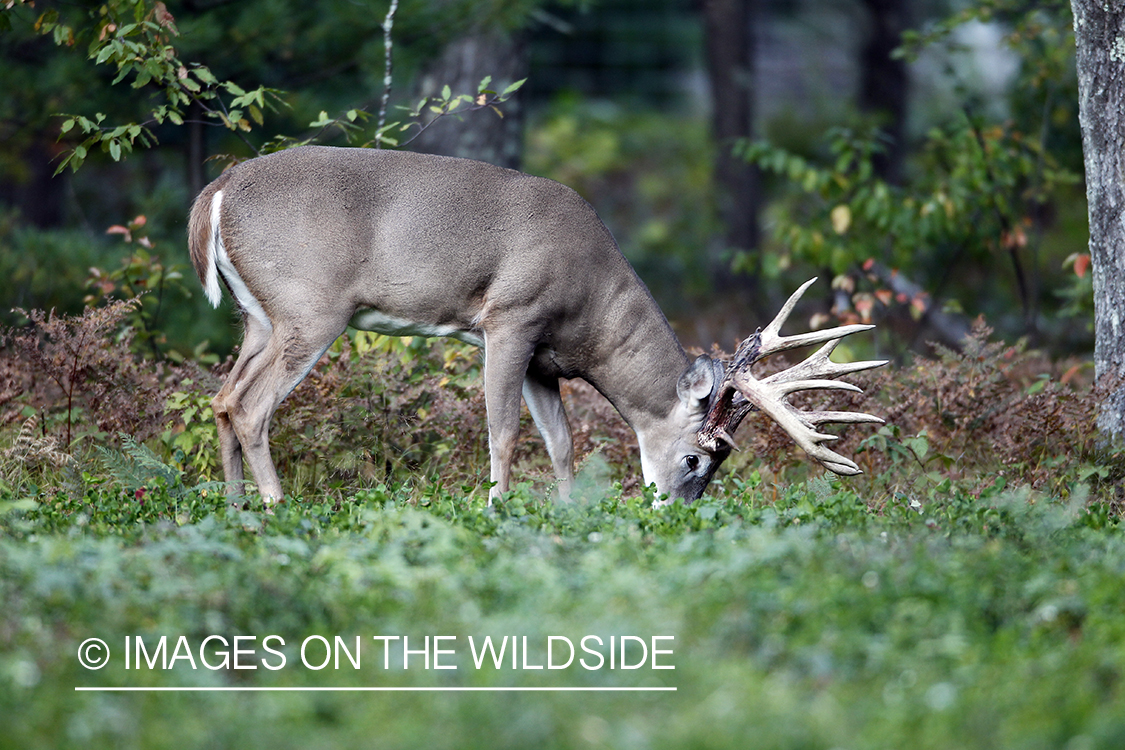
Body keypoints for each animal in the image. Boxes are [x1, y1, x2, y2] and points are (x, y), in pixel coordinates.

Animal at [186, 146, 886, 503]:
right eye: (696, 457)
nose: (676, 511)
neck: (590, 312)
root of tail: (214, 194)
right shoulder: (509, 319)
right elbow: (503, 432)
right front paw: (497, 510)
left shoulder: (545, 361)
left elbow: (561, 441)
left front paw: (567, 512)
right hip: (311, 308)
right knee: (250, 406)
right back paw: (276, 506)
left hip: (260, 318)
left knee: (222, 397)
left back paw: (235, 508)